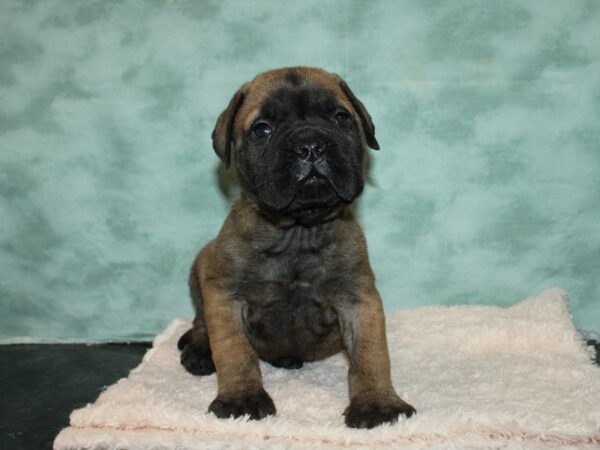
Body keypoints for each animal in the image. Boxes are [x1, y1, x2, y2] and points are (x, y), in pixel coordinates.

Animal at [176, 67, 414, 428]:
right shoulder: (225, 297)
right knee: (200, 323)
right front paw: (241, 397)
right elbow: (234, 350)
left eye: (341, 118)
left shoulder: (359, 300)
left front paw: (378, 402)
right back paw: (201, 352)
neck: (298, 231)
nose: (310, 146)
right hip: (203, 264)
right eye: (262, 129)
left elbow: (370, 354)